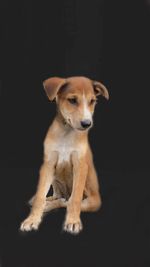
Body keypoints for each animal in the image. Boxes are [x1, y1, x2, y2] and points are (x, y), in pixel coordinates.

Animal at [19, 76, 109, 236]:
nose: (87, 123)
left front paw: (72, 221)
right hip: (55, 178)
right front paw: (32, 219)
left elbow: (75, 199)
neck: (67, 133)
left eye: (92, 101)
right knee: (58, 197)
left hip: (92, 202)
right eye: (72, 100)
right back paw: (46, 201)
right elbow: (40, 195)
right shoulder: (48, 164)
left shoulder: (80, 165)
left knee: (66, 201)